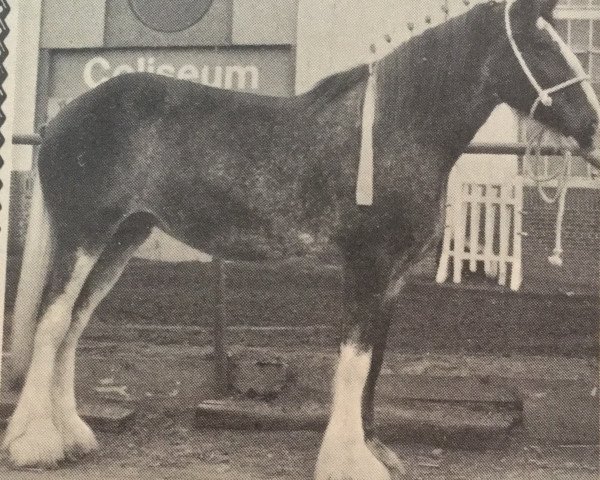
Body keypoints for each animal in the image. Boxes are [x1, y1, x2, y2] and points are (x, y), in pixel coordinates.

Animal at [4, 0, 600, 474]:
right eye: (541, 46)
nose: (594, 130)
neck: (394, 129)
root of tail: (61, 120)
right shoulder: (366, 265)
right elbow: (353, 362)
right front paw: (349, 462)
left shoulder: (393, 278)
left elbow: (374, 364)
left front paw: (375, 452)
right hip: (84, 237)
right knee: (52, 322)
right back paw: (35, 444)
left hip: (122, 239)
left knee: (74, 324)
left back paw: (74, 436)